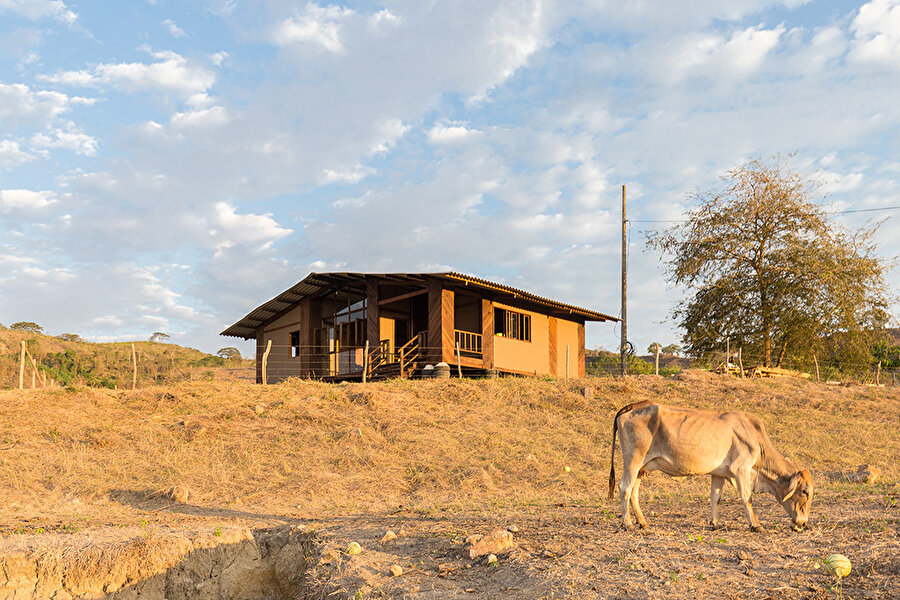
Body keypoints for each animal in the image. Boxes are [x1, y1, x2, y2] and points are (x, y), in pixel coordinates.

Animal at [608, 400, 812, 532]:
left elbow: (716, 497)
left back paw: (643, 522)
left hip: (641, 467)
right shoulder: (741, 470)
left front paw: (715, 523)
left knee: (634, 492)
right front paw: (756, 524)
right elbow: (747, 498)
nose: (803, 524)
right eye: (805, 492)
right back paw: (628, 523)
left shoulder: (719, 473)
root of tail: (634, 406)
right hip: (633, 460)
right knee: (625, 488)